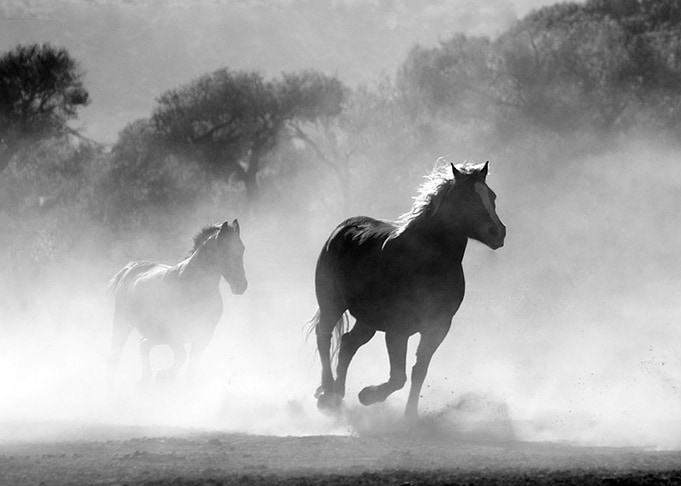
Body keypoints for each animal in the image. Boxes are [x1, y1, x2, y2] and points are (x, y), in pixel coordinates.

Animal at [107, 219, 247, 387]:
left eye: (242, 249)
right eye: (224, 250)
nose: (241, 286)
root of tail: (130, 268)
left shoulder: (203, 335)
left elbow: (191, 367)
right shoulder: (174, 333)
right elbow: (181, 356)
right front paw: (164, 376)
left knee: (143, 345)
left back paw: (144, 380)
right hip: (123, 322)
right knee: (117, 353)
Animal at [311, 160, 505, 420]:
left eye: (492, 196)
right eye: (466, 198)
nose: (498, 232)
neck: (426, 262)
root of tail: (342, 229)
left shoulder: (438, 327)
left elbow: (418, 371)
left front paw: (410, 415)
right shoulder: (397, 330)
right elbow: (398, 377)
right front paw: (368, 395)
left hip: (368, 320)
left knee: (348, 343)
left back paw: (337, 395)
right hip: (331, 304)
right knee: (324, 337)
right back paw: (328, 394)